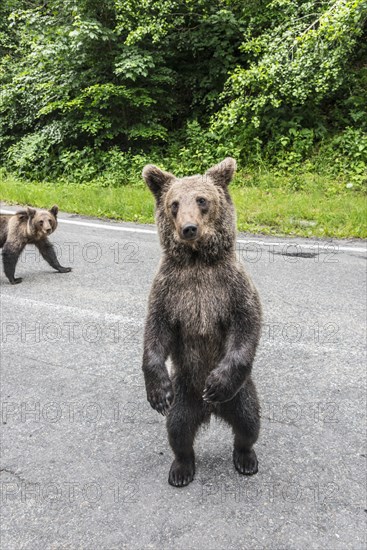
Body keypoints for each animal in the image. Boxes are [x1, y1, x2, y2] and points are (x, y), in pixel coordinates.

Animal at [142, 158, 264, 488]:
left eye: (202, 200)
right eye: (174, 204)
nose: (188, 228)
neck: (197, 261)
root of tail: (210, 410)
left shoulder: (230, 286)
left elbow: (247, 322)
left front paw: (216, 383)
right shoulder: (170, 290)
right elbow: (156, 330)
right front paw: (157, 394)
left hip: (241, 393)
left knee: (249, 421)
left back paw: (246, 458)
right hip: (184, 392)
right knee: (178, 430)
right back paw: (181, 468)